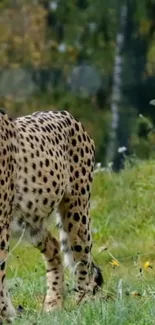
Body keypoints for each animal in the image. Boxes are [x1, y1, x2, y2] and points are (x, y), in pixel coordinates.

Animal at [0, 108, 103, 318]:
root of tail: (65, 113)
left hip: (76, 213)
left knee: (83, 262)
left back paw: (83, 306)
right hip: (30, 221)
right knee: (54, 246)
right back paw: (53, 304)